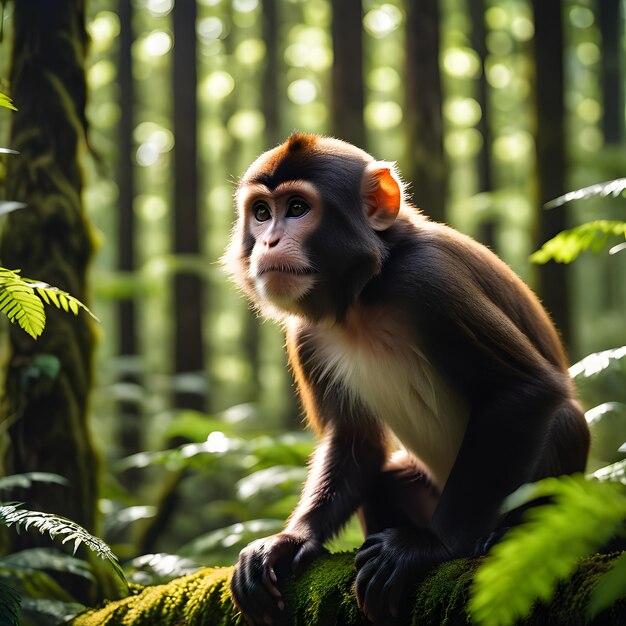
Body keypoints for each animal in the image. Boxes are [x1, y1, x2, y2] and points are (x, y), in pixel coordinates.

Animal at [224, 133, 588, 624]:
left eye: (297, 208)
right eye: (261, 213)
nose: (268, 241)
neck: (366, 295)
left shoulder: (428, 283)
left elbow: (526, 389)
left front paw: (432, 546)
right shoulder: (307, 335)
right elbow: (355, 439)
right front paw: (291, 540)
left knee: (564, 418)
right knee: (383, 478)